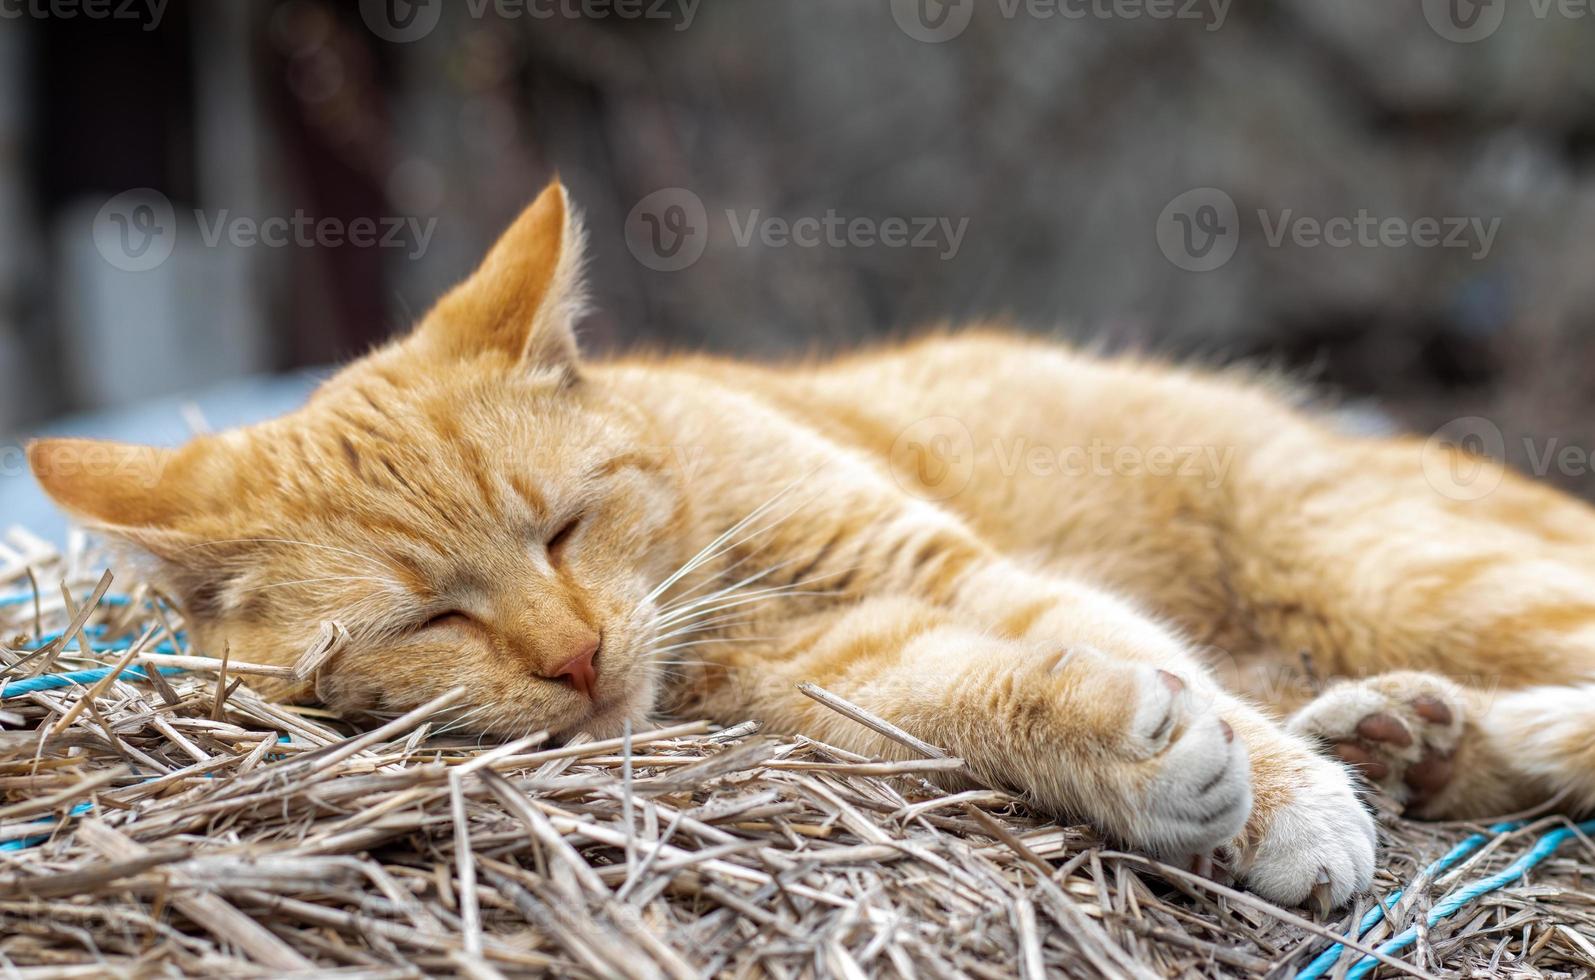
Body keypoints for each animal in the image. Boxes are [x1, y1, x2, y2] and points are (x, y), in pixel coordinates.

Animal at [24, 180, 1595, 912]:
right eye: (432, 620)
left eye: (562, 525)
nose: (577, 657)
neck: (707, 584)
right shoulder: (850, 678)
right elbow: (994, 696)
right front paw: (1138, 757)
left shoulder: (943, 570)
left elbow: (1140, 654)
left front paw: (1278, 801)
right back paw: (1406, 738)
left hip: (1386, 564)